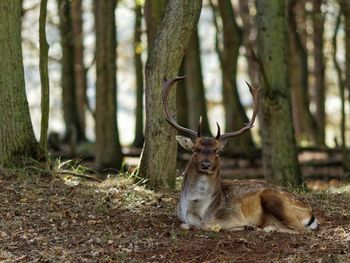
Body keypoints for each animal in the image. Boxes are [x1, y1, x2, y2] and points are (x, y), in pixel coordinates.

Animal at [163, 77, 318, 235]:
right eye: (195, 149)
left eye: (217, 151)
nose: (205, 164)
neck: (195, 209)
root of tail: (311, 214)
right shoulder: (180, 216)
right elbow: (185, 224)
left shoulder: (232, 216)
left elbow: (207, 226)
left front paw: (242, 226)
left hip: (273, 197)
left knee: (303, 230)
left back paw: (265, 228)